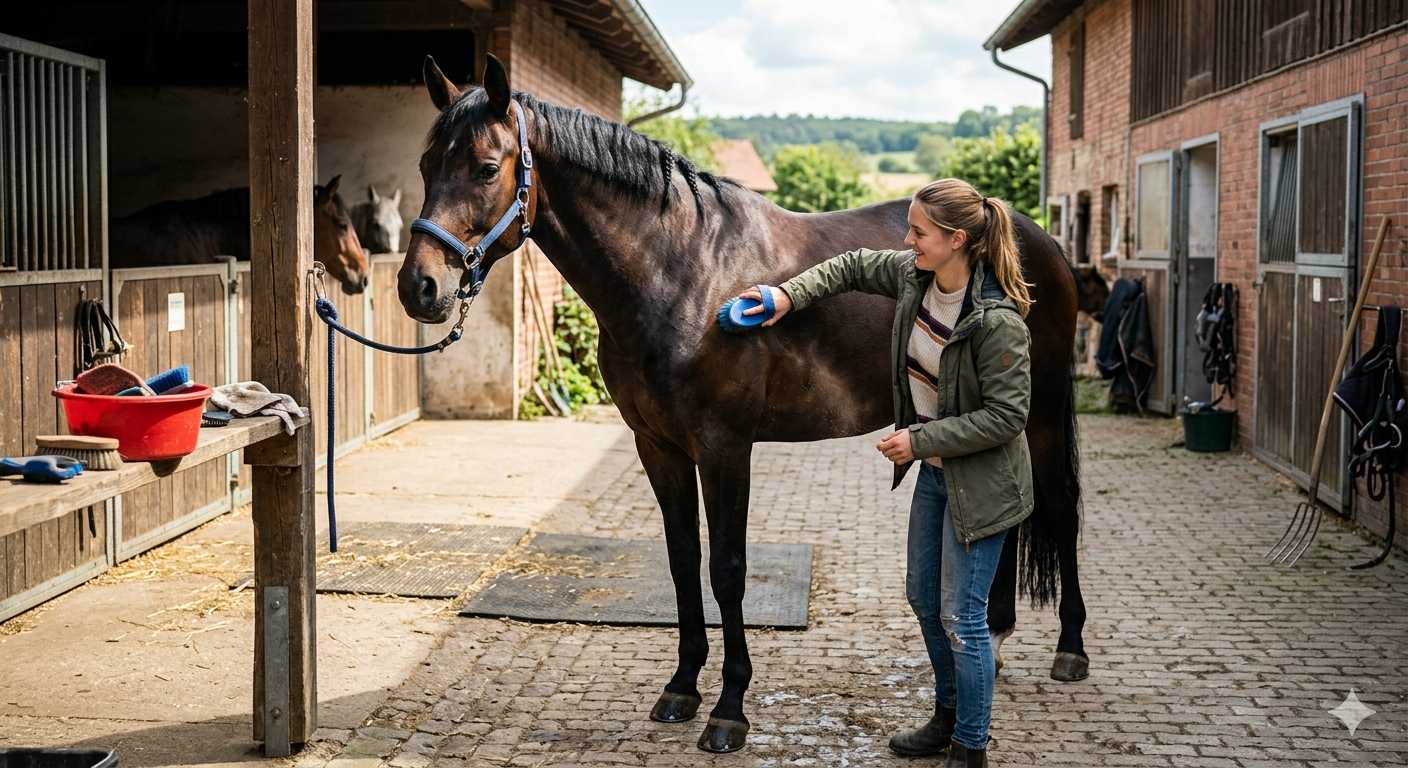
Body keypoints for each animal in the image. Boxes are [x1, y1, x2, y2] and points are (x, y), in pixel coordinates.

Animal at [399, 55, 1086, 754]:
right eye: (426, 166)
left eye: (487, 168)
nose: (419, 287)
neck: (683, 271)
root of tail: (1034, 238)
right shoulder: (659, 447)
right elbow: (683, 561)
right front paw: (681, 688)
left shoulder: (725, 447)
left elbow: (728, 568)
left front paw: (729, 709)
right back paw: (994, 639)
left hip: (1039, 415)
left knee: (1057, 506)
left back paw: (1069, 649)